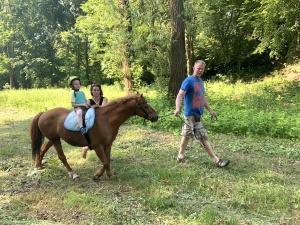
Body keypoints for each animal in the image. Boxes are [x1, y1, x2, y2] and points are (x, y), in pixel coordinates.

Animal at [29, 93, 158, 179]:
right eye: (145, 105)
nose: (156, 117)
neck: (107, 119)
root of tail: (44, 113)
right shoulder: (97, 146)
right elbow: (105, 162)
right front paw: (97, 176)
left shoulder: (108, 144)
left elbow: (107, 160)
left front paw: (109, 175)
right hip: (55, 140)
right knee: (61, 156)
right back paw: (73, 173)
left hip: (53, 139)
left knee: (43, 149)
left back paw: (38, 165)